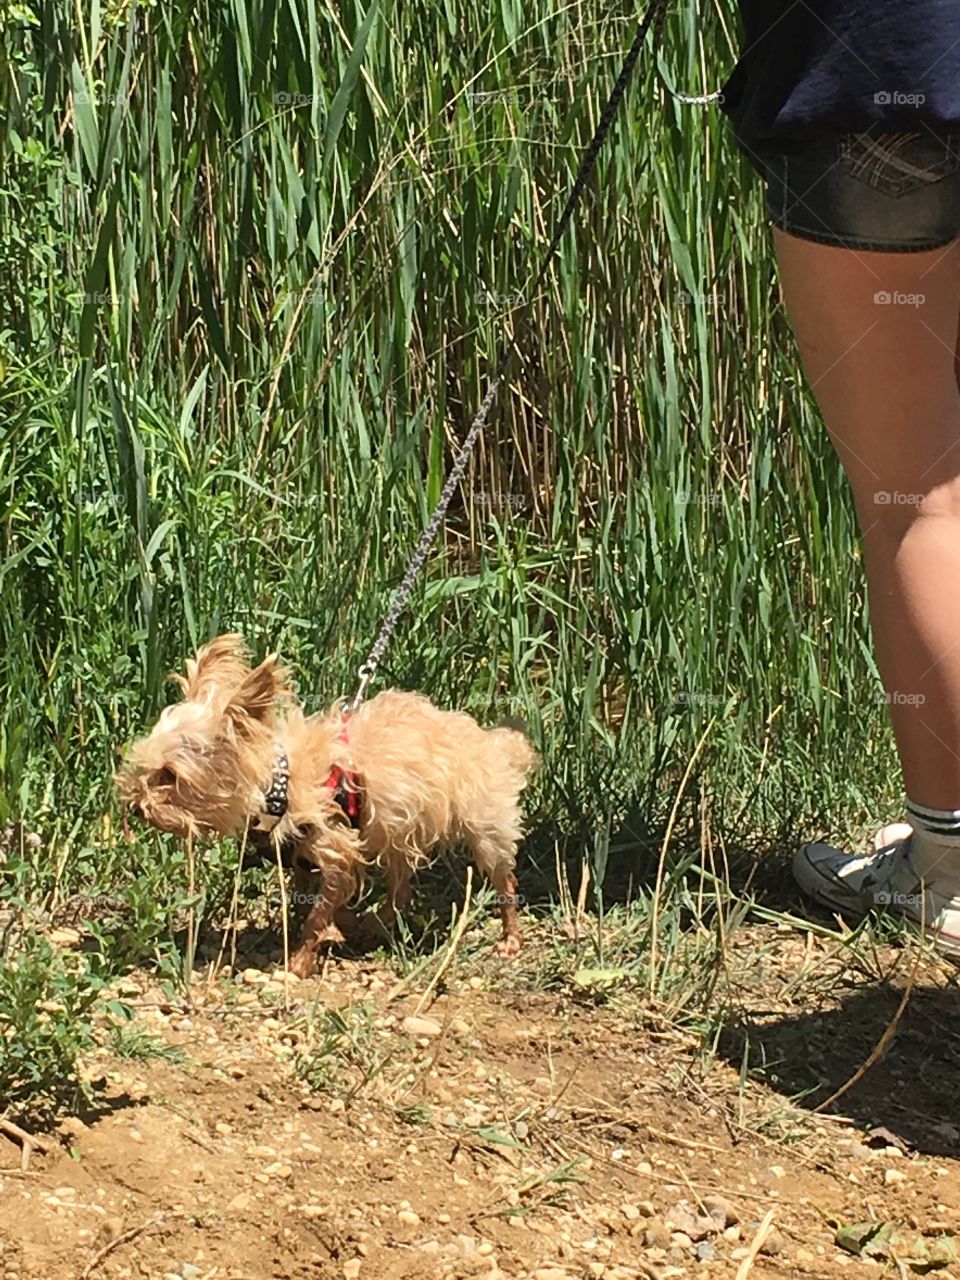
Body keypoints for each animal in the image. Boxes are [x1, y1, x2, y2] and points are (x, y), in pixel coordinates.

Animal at [116, 634, 537, 972]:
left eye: (169, 775)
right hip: (395, 834)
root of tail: (494, 745)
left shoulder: (337, 851)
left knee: (506, 881)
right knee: (400, 889)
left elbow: (316, 915)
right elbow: (307, 906)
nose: (135, 806)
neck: (280, 784)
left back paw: (510, 937)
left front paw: (302, 961)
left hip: (486, 830)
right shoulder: (302, 860)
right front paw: (338, 927)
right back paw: (376, 924)